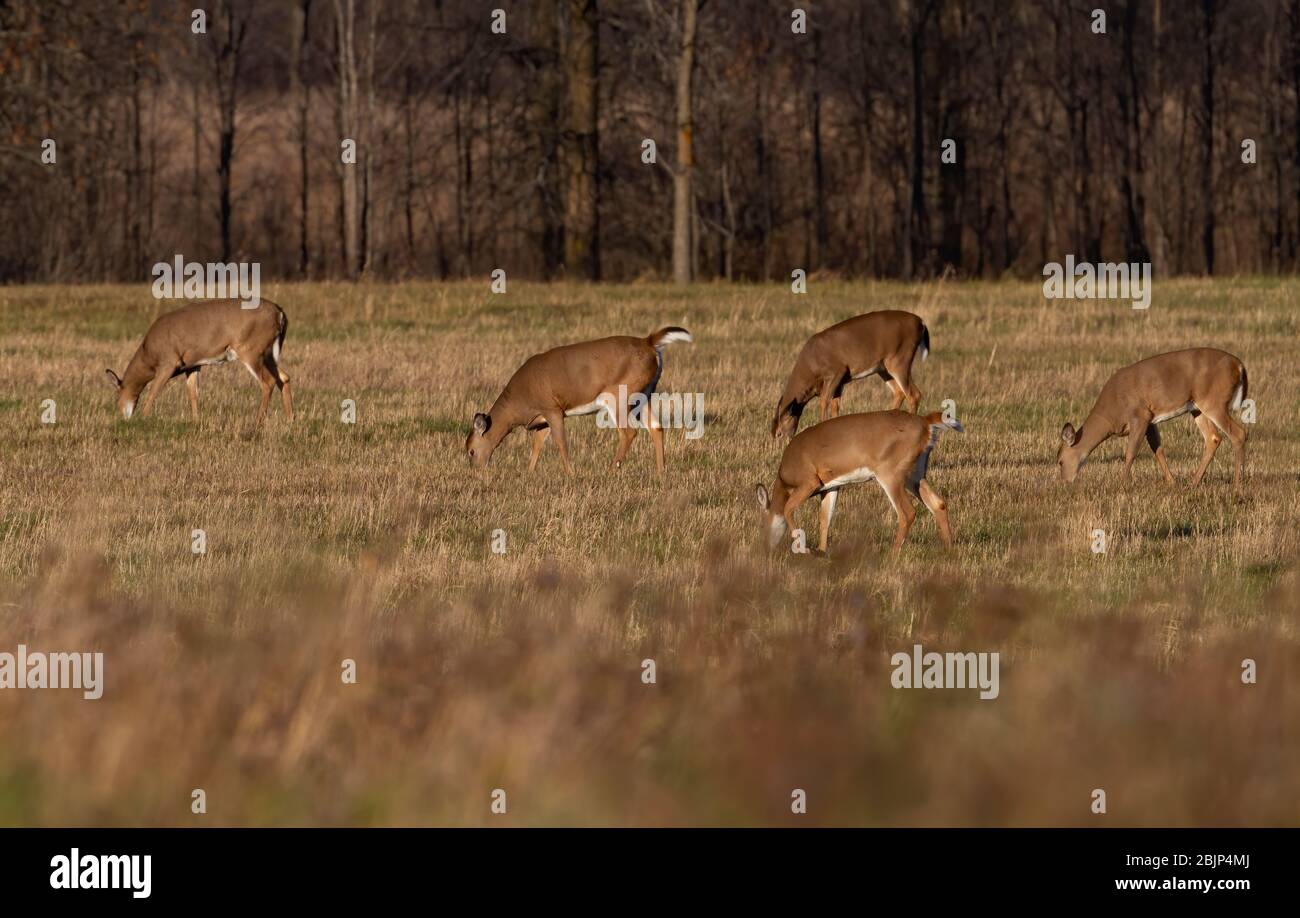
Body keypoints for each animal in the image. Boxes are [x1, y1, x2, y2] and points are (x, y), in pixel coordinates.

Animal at [105, 300, 293, 426]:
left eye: (117, 396)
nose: (124, 417)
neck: (148, 355)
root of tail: (280, 313)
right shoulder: (193, 364)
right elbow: (192, 393)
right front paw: (195, 420)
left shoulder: (168, 361)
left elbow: (153, 391)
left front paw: (143, 418)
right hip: (267, 354)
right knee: (284, 377)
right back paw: (290, 419)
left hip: (250, 350)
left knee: (268, 381)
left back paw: (257, 422)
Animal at [465, 325, 691, 473]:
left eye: (471, 451)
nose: (477, 472)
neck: (519, 404)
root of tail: (649, 343)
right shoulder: (542, 419)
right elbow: (537, 444)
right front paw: (529, 473)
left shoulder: (552, 408)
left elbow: (561, 443)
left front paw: (570, 475)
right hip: (645, 394)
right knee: (656, 426)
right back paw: (661, 472)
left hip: (619, 394)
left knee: (629, 432)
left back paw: (610, 470)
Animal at [759, 410, 961, 553]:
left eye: (763, 525)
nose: (766, 548)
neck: (785, 475)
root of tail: (926, 423)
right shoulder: (831, 486)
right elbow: (825, 518)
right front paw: (822, 551)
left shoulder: (809, 481)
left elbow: (787, 509)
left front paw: (804, 549)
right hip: (915, 474)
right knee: (938, 504)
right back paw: (949, 550)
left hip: (890, 473)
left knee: (907, 512)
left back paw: (892, 554)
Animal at [769, 309, 935, 436]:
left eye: (779, 433)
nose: (780, 446)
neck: (811, 368)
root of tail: (921, 322)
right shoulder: (841, 381)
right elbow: (835, 405)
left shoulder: (836, 371)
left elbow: (823, 402)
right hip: (883, 367)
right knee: (899, 392)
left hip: (899, 359)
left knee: (913, 394)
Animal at [1055, 345, 1248, 488]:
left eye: (1060, 461)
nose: (1064, 483)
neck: (1110, 414)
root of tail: (1238, 364)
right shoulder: (1150, 421)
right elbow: (1158, 450)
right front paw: (1171, 482)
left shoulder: (1139, 415)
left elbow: (1131, 452)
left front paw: (1121, 483)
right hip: (1197, 407)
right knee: (1213, 438)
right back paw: (1193, 483)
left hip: (1214, 401)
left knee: (1238, 433)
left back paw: (1237, 486)